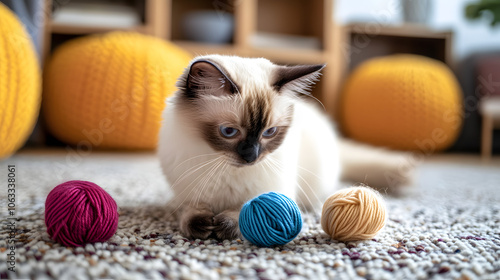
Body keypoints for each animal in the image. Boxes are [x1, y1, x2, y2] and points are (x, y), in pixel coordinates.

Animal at [158, 55, 412, 241]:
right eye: (229, 132)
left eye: (269, 132)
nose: (251, 157)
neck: (222, 167)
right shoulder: (188, 194)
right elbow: (190, 212)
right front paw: (201, 224)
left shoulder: (275, 192)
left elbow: (244, 211)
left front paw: (224, 224)